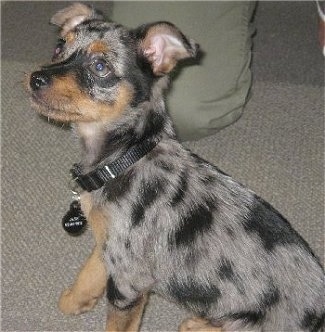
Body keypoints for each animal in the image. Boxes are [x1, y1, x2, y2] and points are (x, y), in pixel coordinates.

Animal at [28, 3, 324, 332]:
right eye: (59, 47)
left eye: (100, 66)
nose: (35, 78)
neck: (124, 158)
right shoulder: (112, 246)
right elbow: (91, 270)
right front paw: (73, 300)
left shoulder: (128, 284)